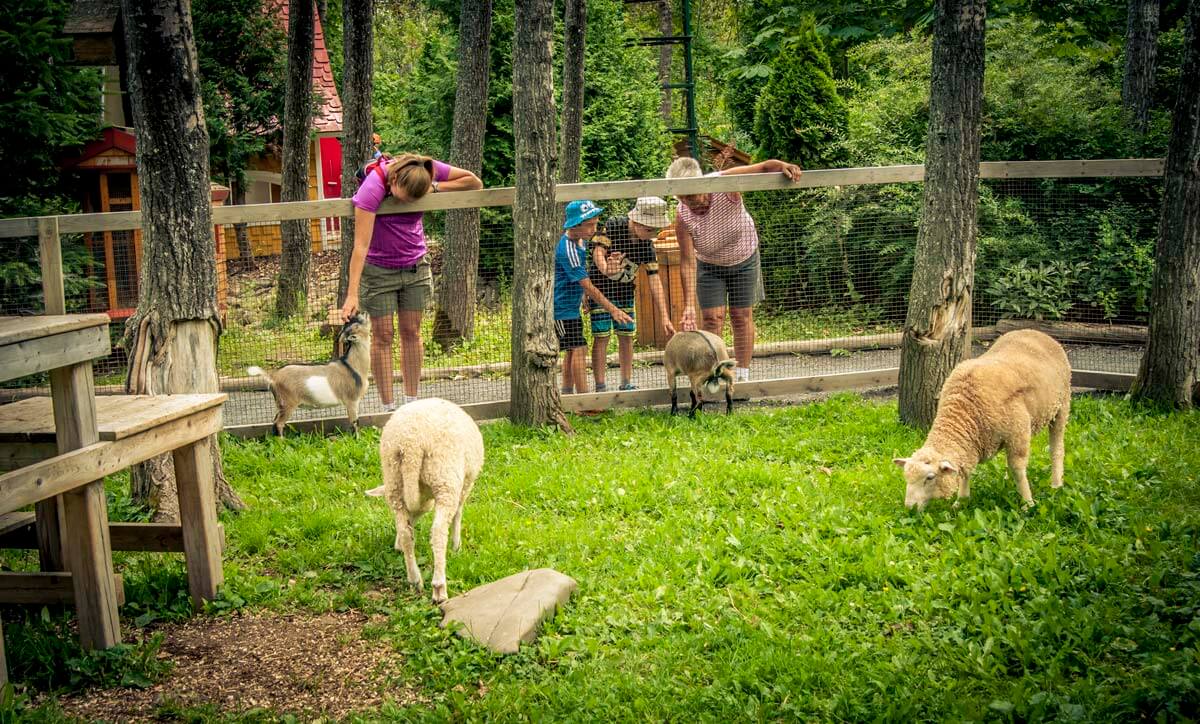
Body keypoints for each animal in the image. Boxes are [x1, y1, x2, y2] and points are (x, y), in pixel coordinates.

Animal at [362, 398, 484, 602]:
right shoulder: (466, 482)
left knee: (405, 532)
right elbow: (458, 513)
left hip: (394, 481)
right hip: (445, 478)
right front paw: (456, 546)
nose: (396, 548)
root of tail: (411, 443)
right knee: (438, 532)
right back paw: (439, 588)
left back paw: (414, 579)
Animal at [897, 328, 1075, 509]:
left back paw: (1056, 484)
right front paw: (961, 501)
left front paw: (1027, 503)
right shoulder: (973, 442)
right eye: (906, 477)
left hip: (1062, 405)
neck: (964, 408)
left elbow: (1018, 469)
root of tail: (1036, 332)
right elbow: (966, 471)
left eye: (930, 477)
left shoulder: (1018, 432)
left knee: (1057, 448)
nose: (909, 508)